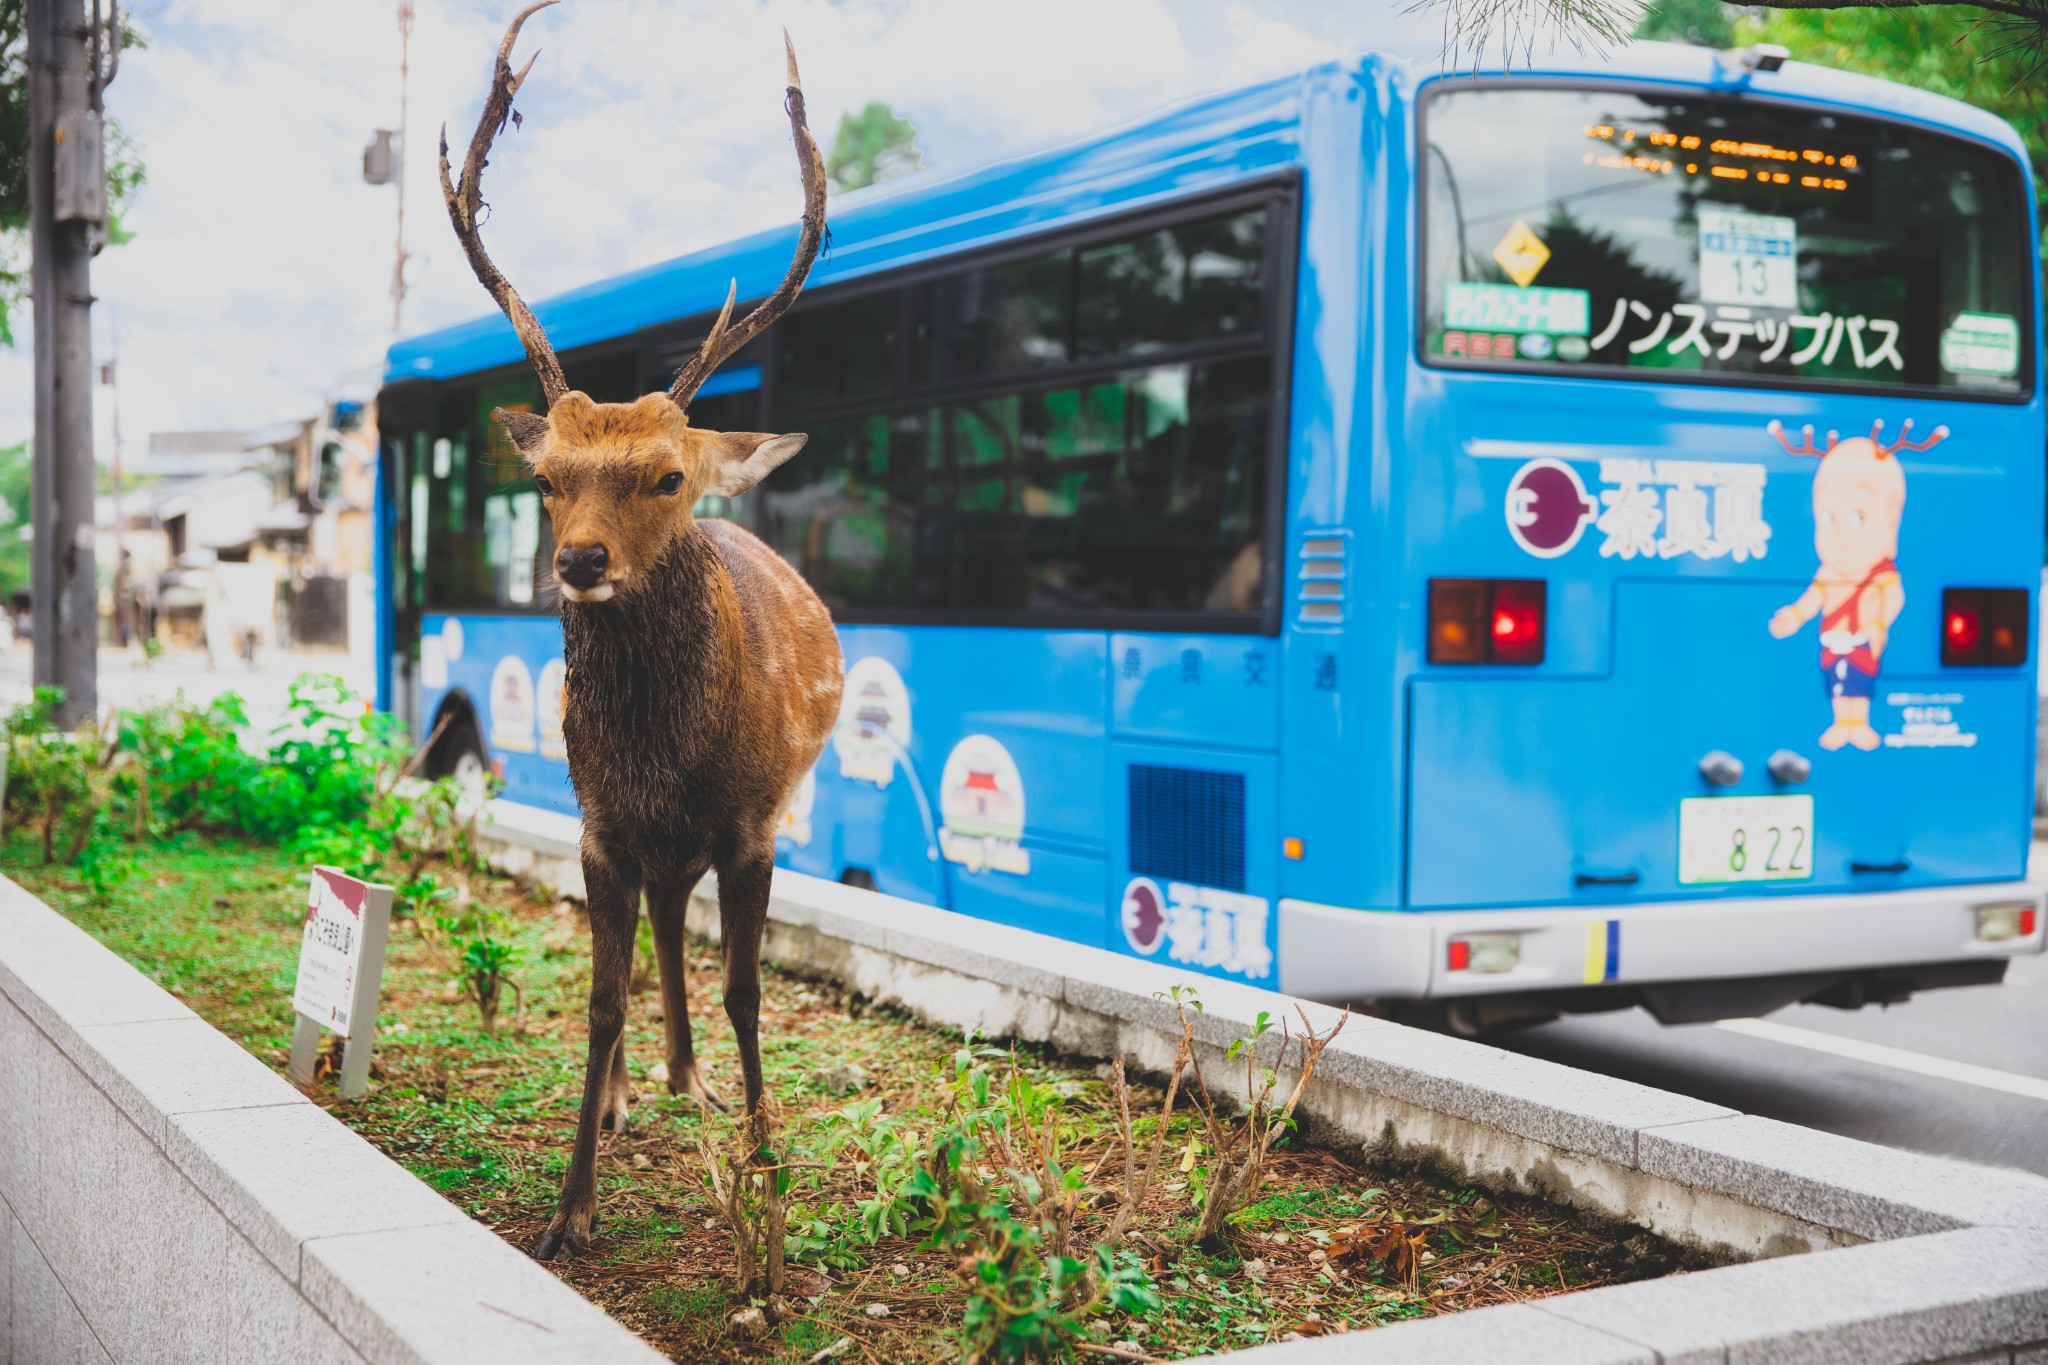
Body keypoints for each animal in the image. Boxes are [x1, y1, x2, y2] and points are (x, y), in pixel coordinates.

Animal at [440, 0, 839, 1268]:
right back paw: (640, 1088)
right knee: (662, 927)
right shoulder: (601, 828)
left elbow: (747, 989)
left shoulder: (753, 822)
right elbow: (599, 997)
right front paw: (570, 1208)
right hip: (648, 847)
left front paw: (765, 1154)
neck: (666, 758)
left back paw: (690, 1083)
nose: (578, 562)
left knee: (689, 934)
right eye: (548, 479)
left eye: (666, 476)